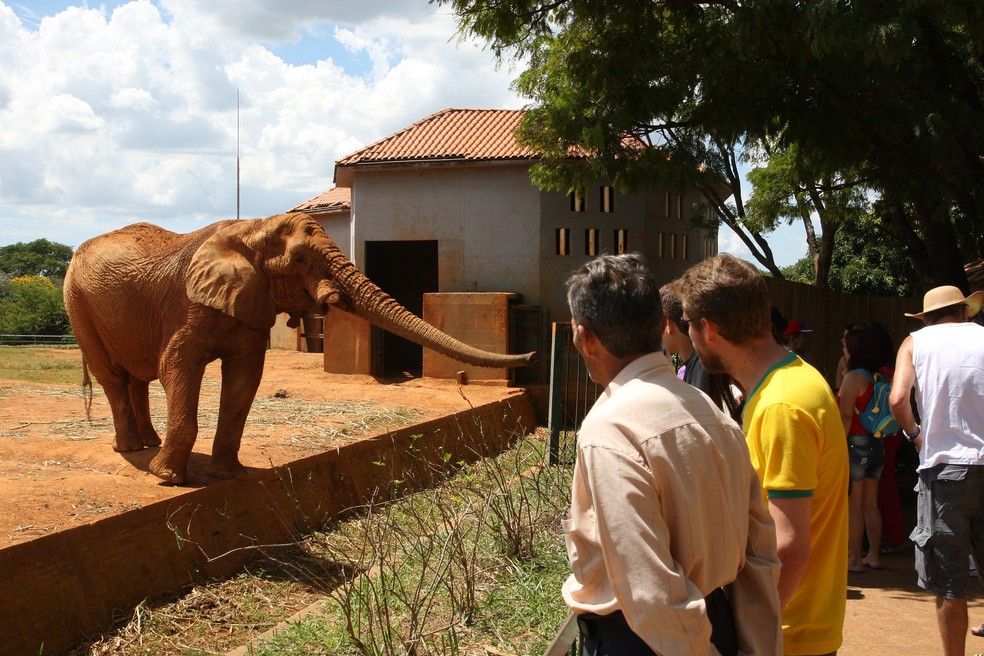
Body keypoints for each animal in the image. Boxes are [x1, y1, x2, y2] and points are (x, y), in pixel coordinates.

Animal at [65, 213, 536, 484]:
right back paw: (132, 451)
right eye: (300, 261)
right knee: (114, 376)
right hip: (76, 302)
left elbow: (246, 377)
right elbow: (177, 365)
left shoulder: (252, 307)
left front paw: (229, 475)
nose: (532, 357)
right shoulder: (189, 306)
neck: (248, 229)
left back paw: (147, 444)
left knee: (136, 377)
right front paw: (168, 480)